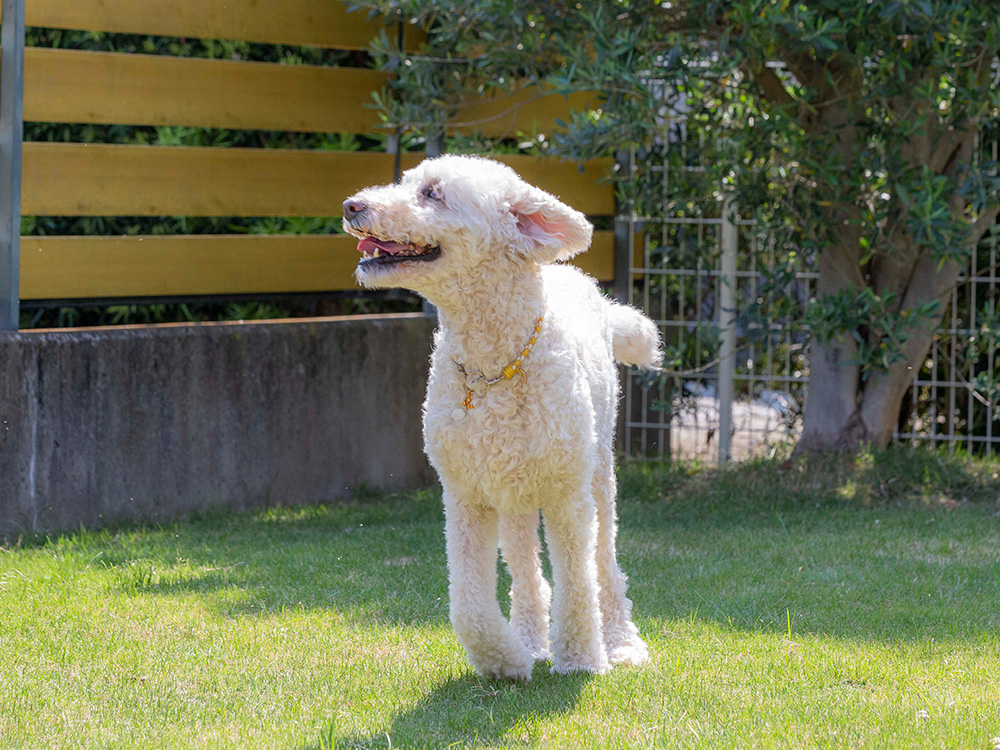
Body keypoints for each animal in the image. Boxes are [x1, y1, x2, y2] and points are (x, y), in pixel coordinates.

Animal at [344, 154, 664, 680]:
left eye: (432, 193)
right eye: (406, 181)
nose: (352, 205)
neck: (494, 365)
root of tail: (576, 278)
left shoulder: (566, 494)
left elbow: (578, 582)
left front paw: (581, 658)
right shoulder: (466, 496)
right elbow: (468, 603)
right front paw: (504, 660)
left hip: (598, 475)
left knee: (605, 566)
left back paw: (619, 641)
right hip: (514, 496)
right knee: (527, 574)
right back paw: (531, 639)